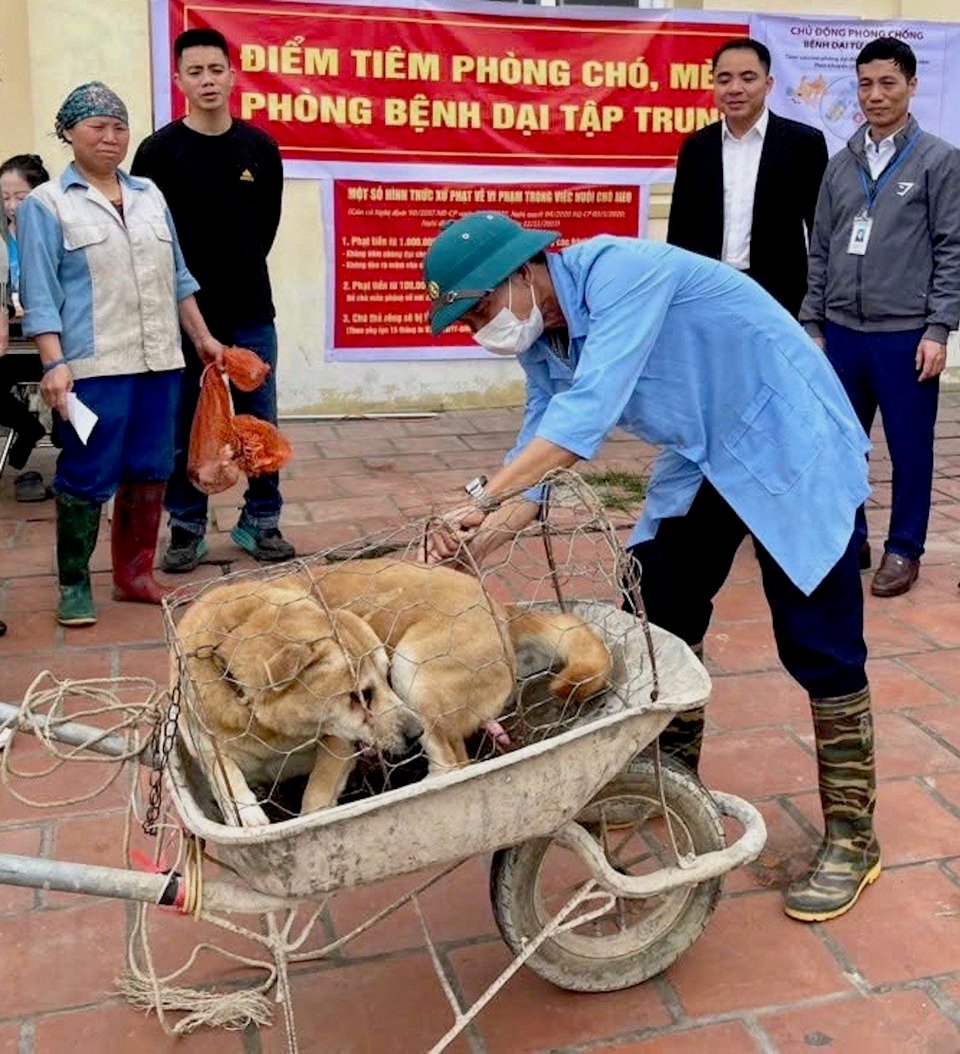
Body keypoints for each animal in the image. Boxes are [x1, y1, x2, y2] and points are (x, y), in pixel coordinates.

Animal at [175, 560, 611, 822]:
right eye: (359, 695)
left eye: (381, 680)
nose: (414, 733)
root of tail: (501, 609)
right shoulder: (204, 745)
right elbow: (227, 778)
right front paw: (249, 816)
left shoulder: (340, 743)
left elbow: (315, 798)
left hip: (414, 668)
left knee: (453, 766)